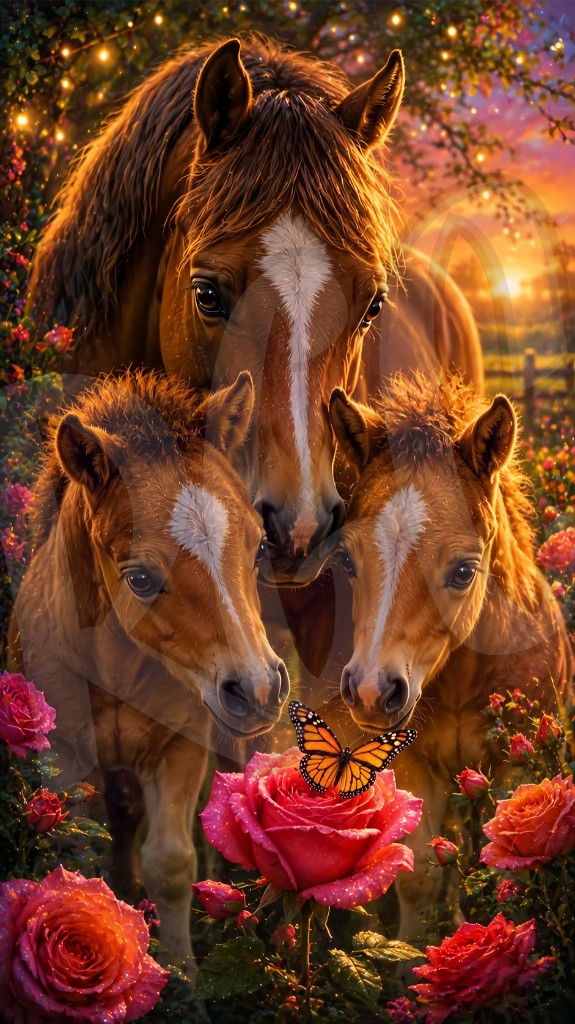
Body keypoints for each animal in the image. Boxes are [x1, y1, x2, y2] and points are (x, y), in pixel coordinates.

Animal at [8, 369, 289, 973]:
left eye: (259, 548)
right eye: (138, 578)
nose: (258, 689)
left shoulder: (181, 745)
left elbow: (172, 864)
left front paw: (183, 974)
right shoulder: (60, 760)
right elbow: (73, 859)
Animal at [328, 371, 574, 940]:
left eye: (464, 571)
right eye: (346, 561)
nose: (370, 691)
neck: (466, 680)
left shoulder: (516, 767)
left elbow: (507, 860)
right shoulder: (414, 763)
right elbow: (421, 876)